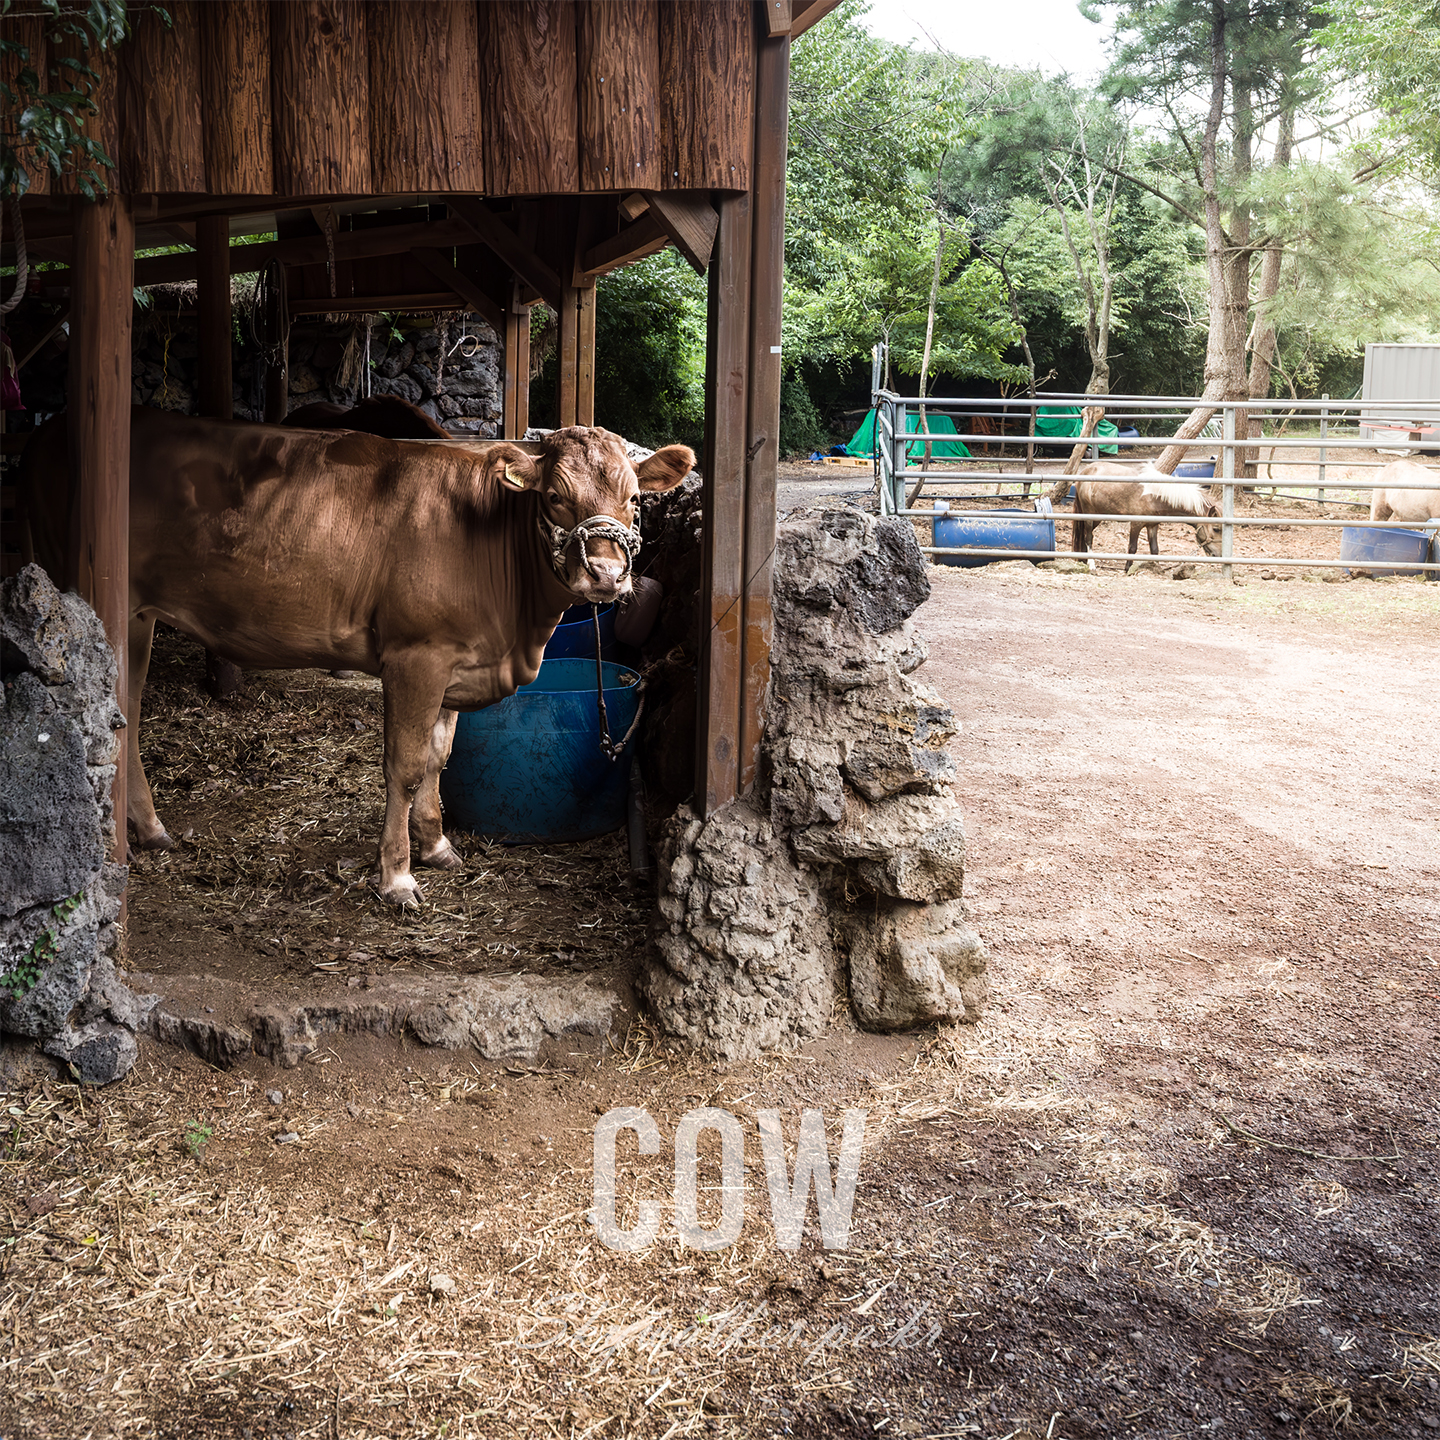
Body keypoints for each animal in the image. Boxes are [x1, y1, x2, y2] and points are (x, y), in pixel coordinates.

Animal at [21, 410, 693, 906]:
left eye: (635, 500)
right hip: (91, 589)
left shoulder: (456, 661)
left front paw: (437, 845)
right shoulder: (416, 656)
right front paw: (396, 876)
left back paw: (150, 828)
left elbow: (439, 757)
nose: (605, 574)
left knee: (128, 710)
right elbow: (405, 765)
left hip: (140, 615)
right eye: (554, 496)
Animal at [1072, 463, 1220, 573]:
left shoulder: (1152, 526)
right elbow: (1132, 547)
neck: (1154, 496)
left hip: (1098, 517)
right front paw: (1127, 568)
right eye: (1217, 529)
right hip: (1090, 516)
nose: (1217, 555)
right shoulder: (1136, 524)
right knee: (1088, 537)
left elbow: (1154, 549)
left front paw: (1156, 568)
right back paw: (1092, 565)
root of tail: (1084, 471)